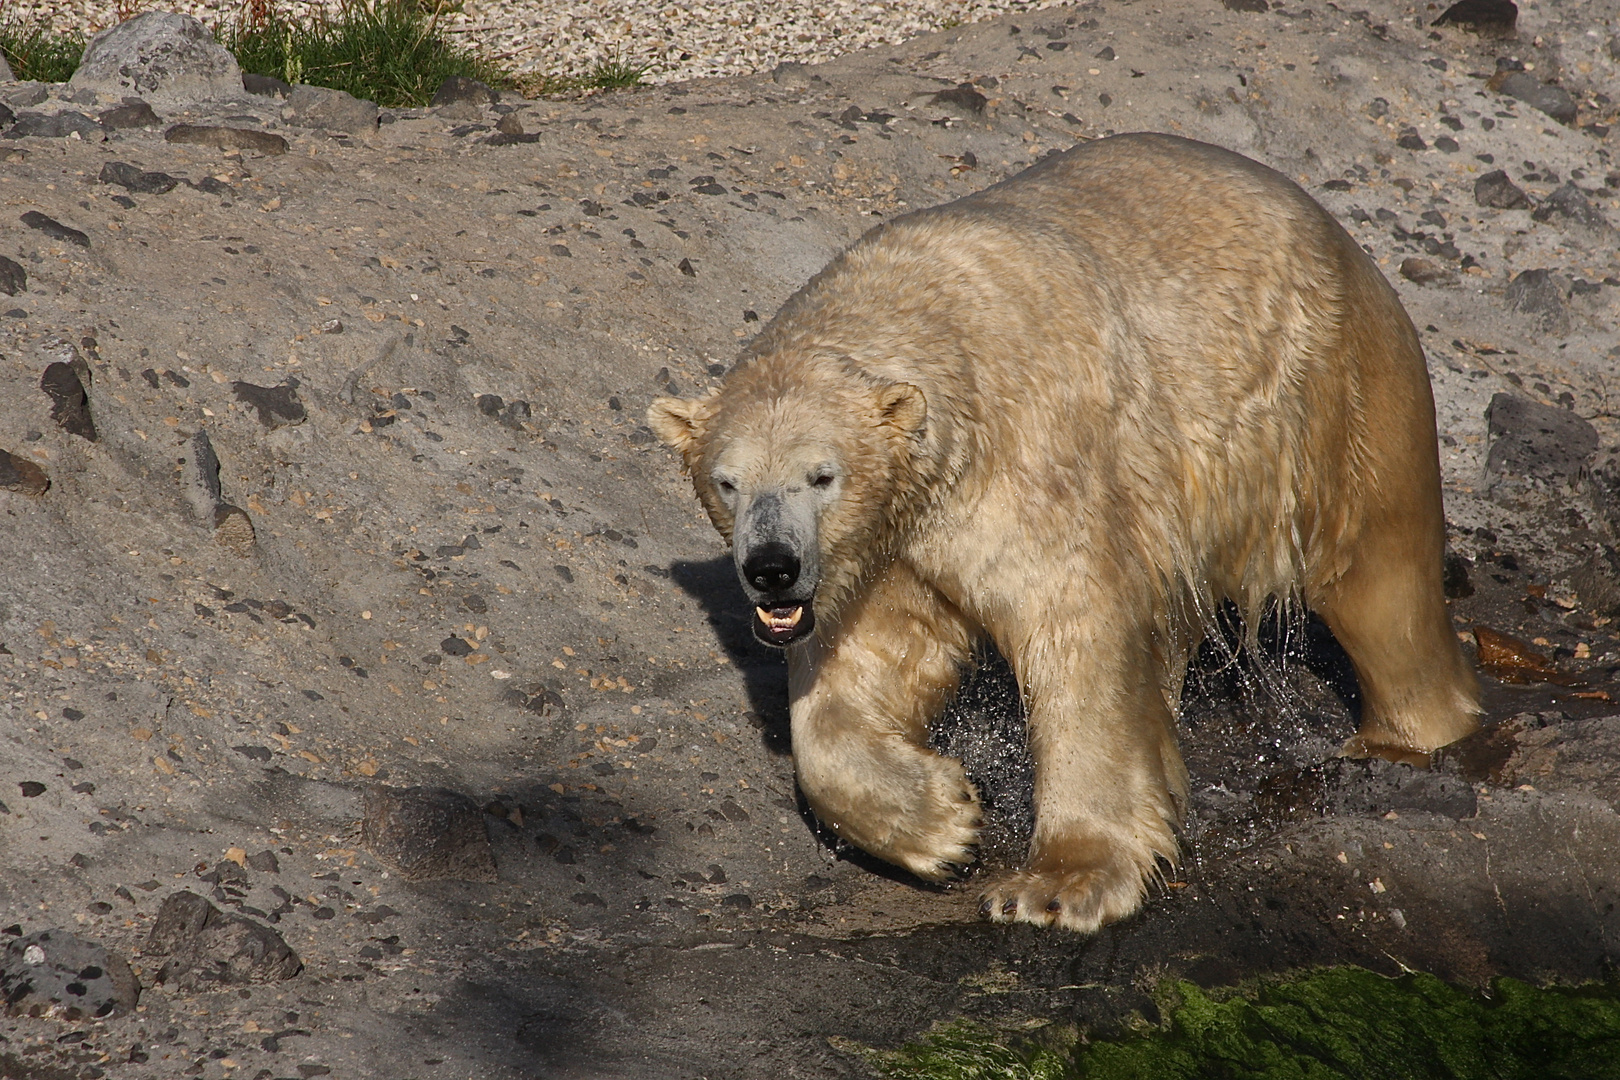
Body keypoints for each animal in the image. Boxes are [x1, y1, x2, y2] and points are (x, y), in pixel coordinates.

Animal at [644, 132, 1483, 932]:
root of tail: (1333, 228)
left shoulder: (1030, 465)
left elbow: (1075, 630)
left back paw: (1405, 736)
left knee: (1378, 574)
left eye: (822, 475)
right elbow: (867, 663)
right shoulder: (889, 542)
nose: (772, 568)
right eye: (728, 481)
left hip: (1331, 401)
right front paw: (944, 823)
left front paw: (1060, 886)